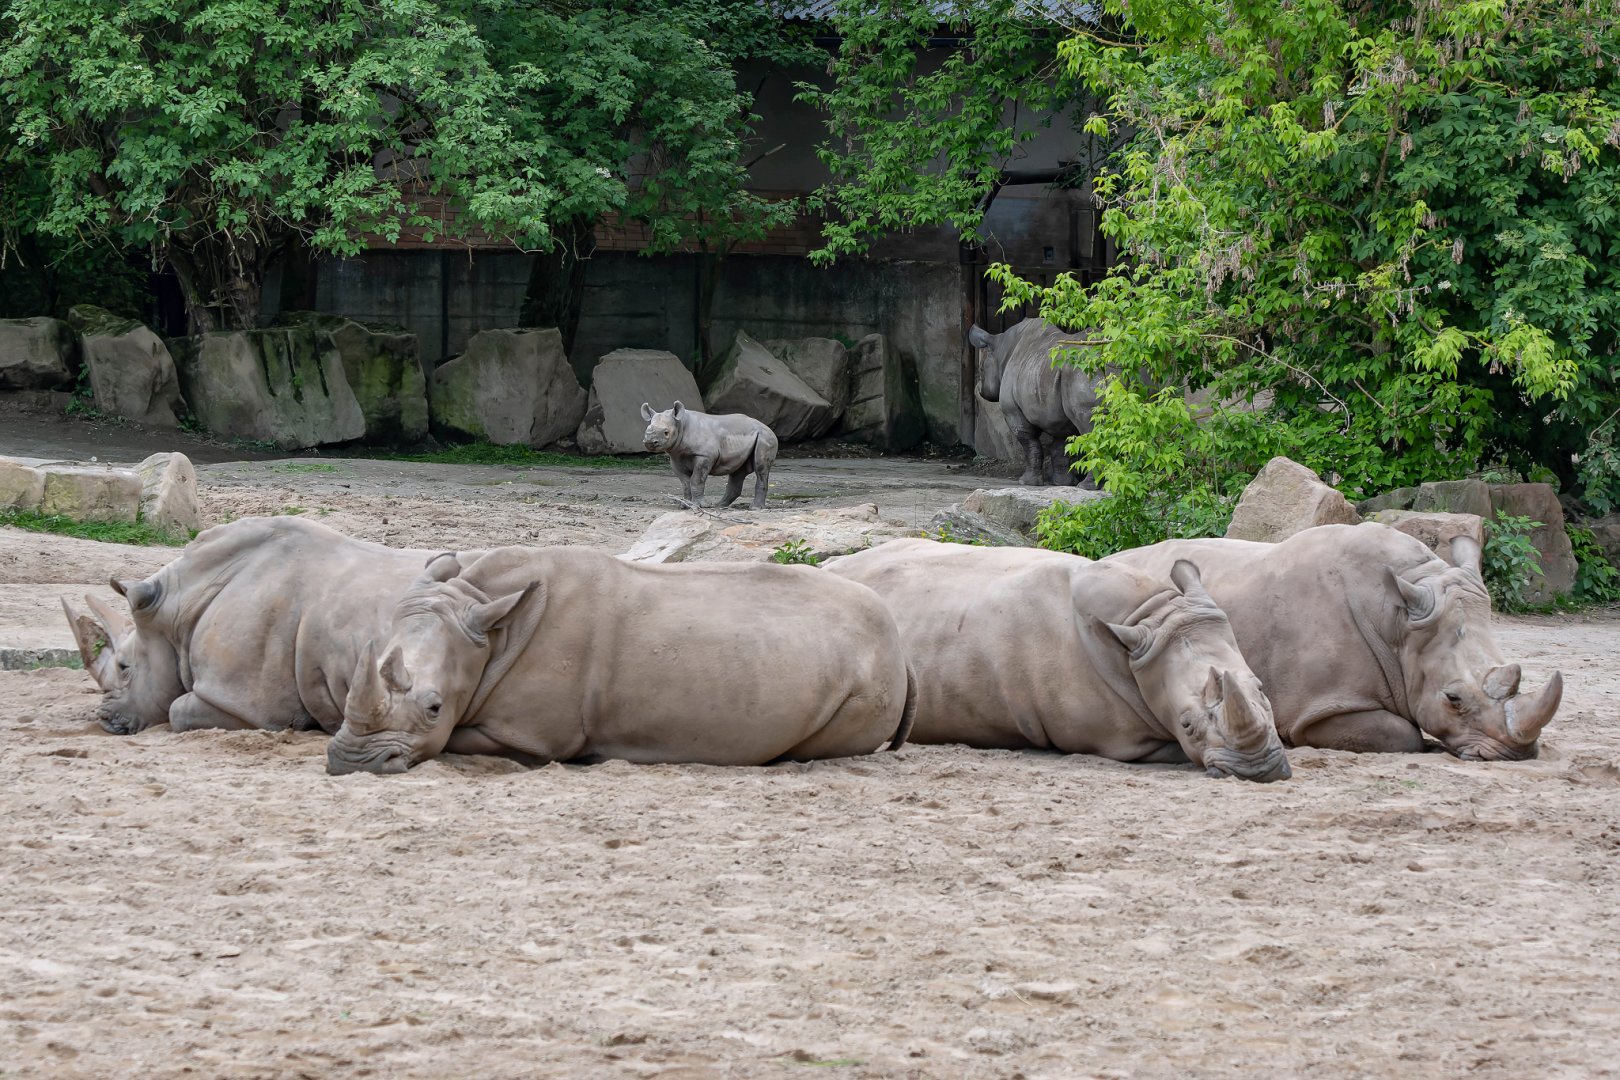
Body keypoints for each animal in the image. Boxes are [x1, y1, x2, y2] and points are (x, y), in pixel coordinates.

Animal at [329, 546, 916, 775]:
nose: (350, 762)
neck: (488, 627)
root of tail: (900, 644)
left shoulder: (531, 737)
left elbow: (455, 740)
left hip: (870, 677)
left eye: (433, 708)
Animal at [641, 400, 778, 508]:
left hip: (765, 437)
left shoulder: (704, 455)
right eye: (646, 430)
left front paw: (700, 506)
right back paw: (719, 506)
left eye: (666, 432)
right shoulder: (676, 457)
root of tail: (769, 428)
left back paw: (755, 508)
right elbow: (685, 483)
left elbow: (696, 479)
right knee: (738, 472)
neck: (680, 424)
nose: (649, 442)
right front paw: (684, 505)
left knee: (760, 468)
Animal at [824, 538, 1290, 781]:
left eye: (1263, 690)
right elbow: (1173, 750)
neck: (1147, 618)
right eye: (1188, 724)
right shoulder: (1119, 741)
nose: (1262, 770)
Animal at [967, 317, 1103, 487]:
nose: (980, 391)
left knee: (1089, 426)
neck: (1002, 347)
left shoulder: (1013, 412)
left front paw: (1026, 482)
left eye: (981, 369)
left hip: (1083, 370)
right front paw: (1062, 483)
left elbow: (1029, 444)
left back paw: (1087, 486)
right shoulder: (1060, 416)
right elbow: (1061, 447)